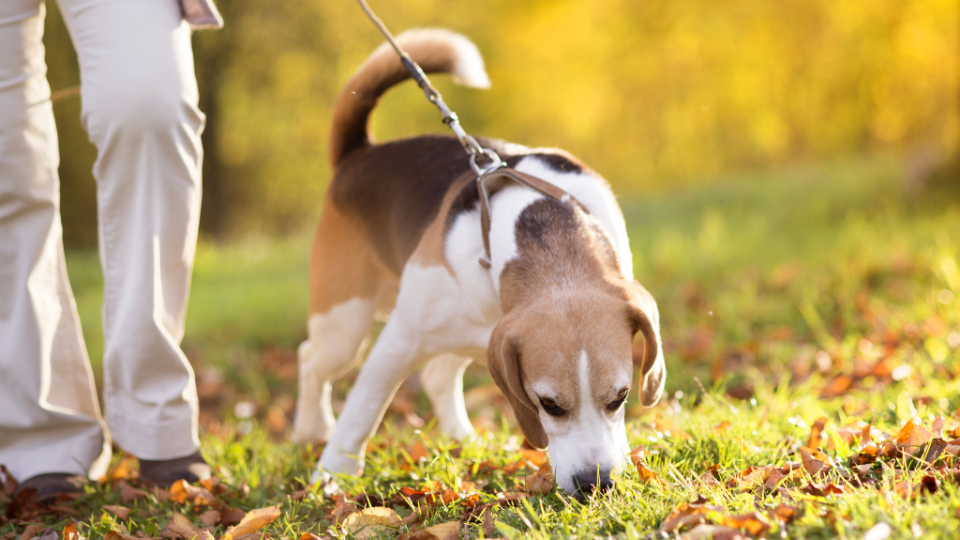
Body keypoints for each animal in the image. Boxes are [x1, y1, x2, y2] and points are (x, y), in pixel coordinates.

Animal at [292, 28, 668, 494]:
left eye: (620, 397)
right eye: (548, 404)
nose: (593, 483)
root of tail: (360, 154)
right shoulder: (398, 342)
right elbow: (361, 413)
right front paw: (331, 478)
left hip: (466, 334)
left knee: (436, 376)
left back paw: (462, 439)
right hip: (344, 324)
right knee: (311, 360)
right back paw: (311, 430)